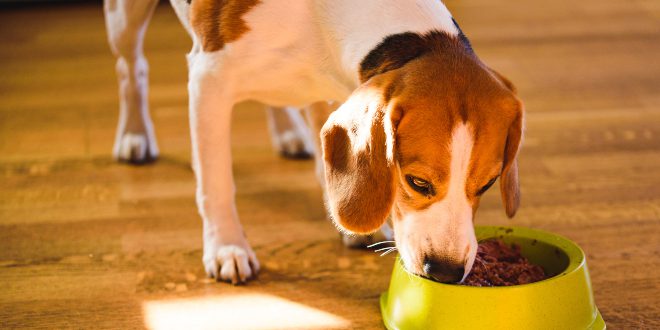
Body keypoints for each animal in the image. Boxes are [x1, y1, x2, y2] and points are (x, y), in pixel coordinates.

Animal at [104, 0, 520, 284]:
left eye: (486, 185)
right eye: (417, 182)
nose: (446, 272)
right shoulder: (209, 78)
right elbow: (216, 183)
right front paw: (226, 246)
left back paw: (288, 131)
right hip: (124, 19)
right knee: (131, 68)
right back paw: (134, 135)